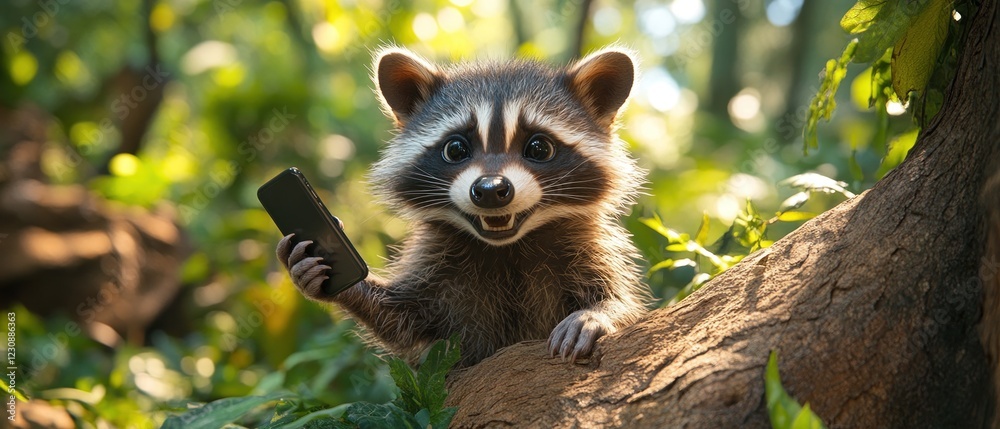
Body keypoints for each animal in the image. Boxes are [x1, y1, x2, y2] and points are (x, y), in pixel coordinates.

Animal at [277, 46, 651, 367]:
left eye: (539, 148)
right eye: (455, 149)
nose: (490, 190)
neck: (507, 247)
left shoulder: (589, 248)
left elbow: (626, 302)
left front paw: (599, 314)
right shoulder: (438, 265)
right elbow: (404, 319)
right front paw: (341, 282)